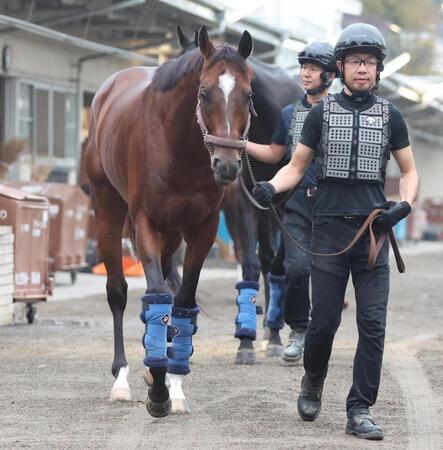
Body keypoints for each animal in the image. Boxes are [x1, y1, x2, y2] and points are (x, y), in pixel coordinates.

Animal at [84, 26, 255, 416]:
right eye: (204, 93)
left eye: (248, 94)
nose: (227, 166)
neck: (180, 148)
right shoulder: (146, 222)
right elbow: (158, 295)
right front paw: (158, 390)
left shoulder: (201, 230)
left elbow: (182, 300)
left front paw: (172, 383)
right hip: (107, 210)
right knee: (118, 292)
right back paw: (121, 378)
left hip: (172, 235)